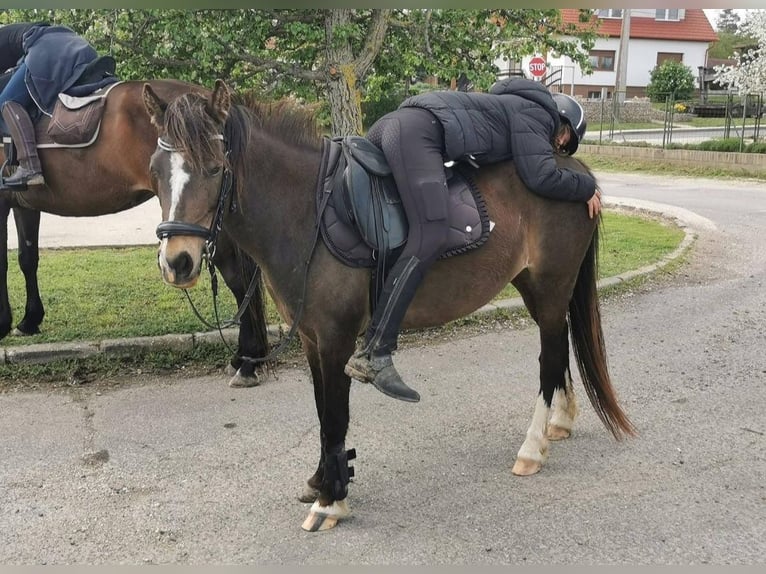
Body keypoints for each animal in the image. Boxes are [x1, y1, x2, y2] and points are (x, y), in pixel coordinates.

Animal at [0, 79, 271, 387]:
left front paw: (3, 322)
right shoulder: (23, 204)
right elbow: (27, 258)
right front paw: (29, 320)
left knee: (237, 278)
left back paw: (247, 361)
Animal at [143, 79, 636, 531]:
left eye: (214, 168)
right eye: (154, 171)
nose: (177, 262)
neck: (307, 211)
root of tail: (578, 172)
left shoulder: (337, 339)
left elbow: (334, 417)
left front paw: (331, 501)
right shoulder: (312, 340)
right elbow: (322, 413)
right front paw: (323, 480)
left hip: (551, 286)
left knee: (548, 358)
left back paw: (532, 448)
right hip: (536, 288)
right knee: (559, 346)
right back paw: (560, 421)